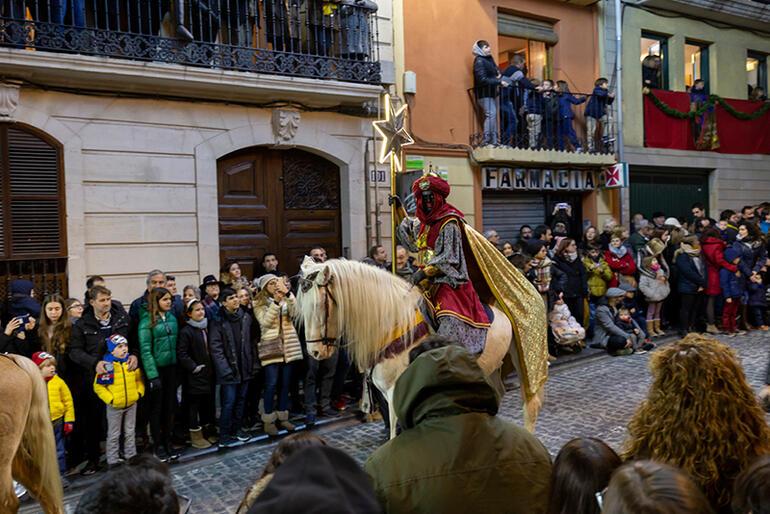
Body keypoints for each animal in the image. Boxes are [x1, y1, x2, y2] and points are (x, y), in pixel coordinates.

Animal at [294, 256, 536, 436]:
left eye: (319, 305)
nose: (315, 352)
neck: (391, 321)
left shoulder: (397, 393)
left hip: (518, 359)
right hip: (491, 368)